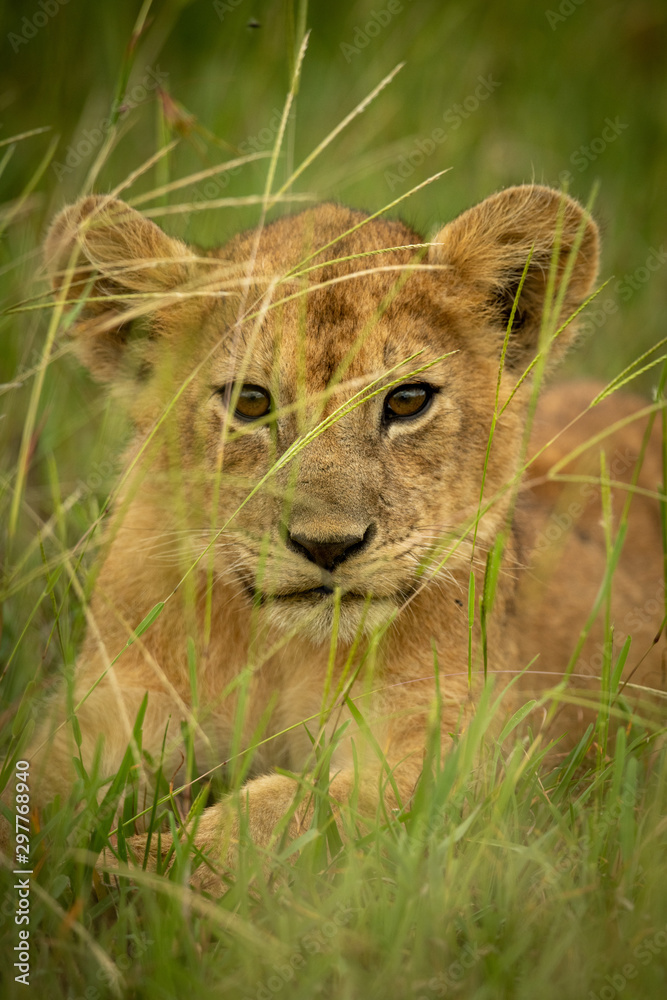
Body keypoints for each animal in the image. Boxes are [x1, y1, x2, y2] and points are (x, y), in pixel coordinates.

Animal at [3, 185, 664, 892]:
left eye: (407, 400)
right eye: (250, 402)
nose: (328, 546)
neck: (283, 652)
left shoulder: (463, 763)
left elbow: (282, 813)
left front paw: (128, 867)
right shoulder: (110, 707)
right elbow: (33, 784)